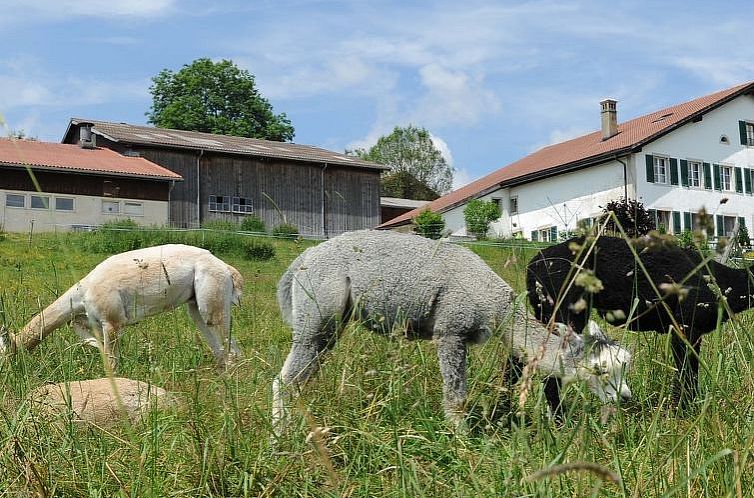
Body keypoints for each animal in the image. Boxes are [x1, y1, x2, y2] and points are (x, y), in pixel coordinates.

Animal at [1, 243, 242, 372]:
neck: (83, 293)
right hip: (196, 307)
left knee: (229, 347)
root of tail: (227, 268)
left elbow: (111, 363)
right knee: (224, 348)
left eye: (2, 351)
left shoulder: (112, 321)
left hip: (211, 298)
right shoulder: (92, 323)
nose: (5, 371)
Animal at [274, 230, 632, 436]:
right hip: (317, 313)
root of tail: (303, 259)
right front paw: (463, 441)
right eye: (600, 371)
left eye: (625, 365)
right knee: (284, 381)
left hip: (328, 323)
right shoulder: (451, 331)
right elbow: (456, 395)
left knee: (299, 379)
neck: (497, 309)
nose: (625, 397)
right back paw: (281, 438)